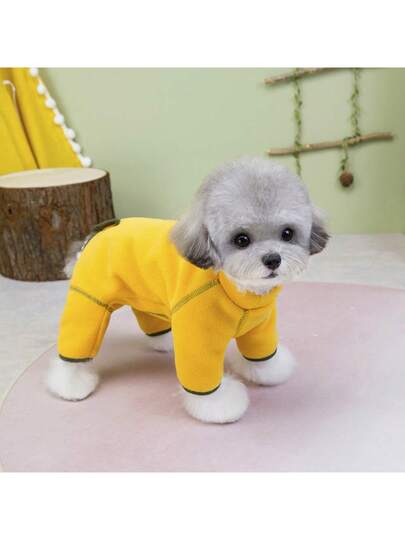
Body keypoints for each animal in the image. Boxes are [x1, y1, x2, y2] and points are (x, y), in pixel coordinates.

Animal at [46, 157, 329, 423]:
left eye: (287, 233)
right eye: (242, 240)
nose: (272, 259)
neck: (235, 290)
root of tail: (94, 236)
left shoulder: (260, 328)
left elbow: (262, 354)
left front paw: (269, 370)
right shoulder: (198, 335)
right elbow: (203, 381)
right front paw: (219, 405)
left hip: (143, 298)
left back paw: (164, 341)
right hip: (90, 303)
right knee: (75, 347)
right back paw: (70, 384)